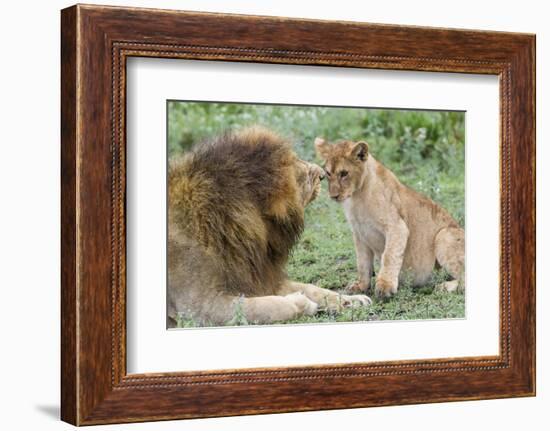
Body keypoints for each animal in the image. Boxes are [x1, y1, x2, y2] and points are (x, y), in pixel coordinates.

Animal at [167, 127, 370, 328]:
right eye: (297, 166)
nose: (322, 175)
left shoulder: (259, 277)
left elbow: (313, 288)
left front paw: (351, 300)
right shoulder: (199, 306)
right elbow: (266, 306)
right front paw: (302, 303)